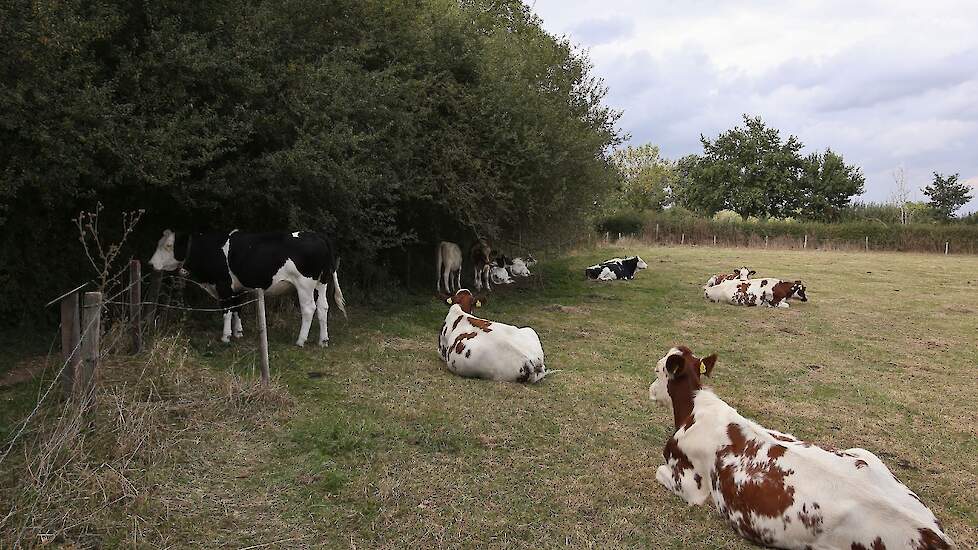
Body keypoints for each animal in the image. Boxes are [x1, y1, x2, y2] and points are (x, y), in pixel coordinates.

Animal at [145, 231, 344, 348]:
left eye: (168, 246)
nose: (151, 264)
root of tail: (317, 235)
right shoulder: (237, 287)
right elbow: (237, 308)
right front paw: (238, 332)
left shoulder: (223, 285)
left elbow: (226, 311)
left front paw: (225, 336)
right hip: (322, 283)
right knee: (323, 308)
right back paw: (323, 340)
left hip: (304, 284)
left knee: (309, 309)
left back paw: (301, 340)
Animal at [644, 350, 948, 550]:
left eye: (657, 370)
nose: (649, 389)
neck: (692, 411)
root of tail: (933, 535)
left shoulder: (690, 486)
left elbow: (659, 471)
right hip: (866, 453)